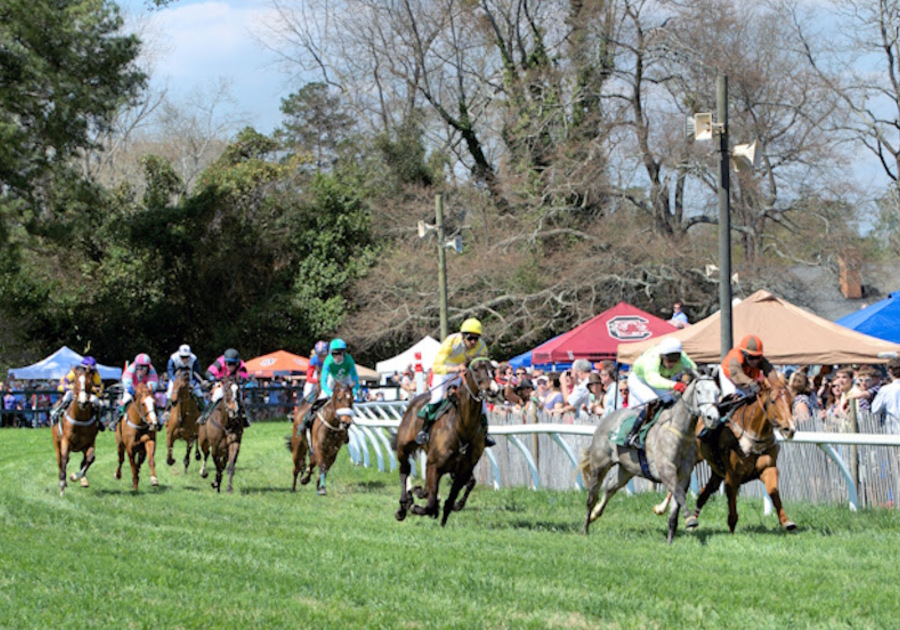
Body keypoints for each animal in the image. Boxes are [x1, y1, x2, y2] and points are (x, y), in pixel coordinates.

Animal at [52, 370, 101, 498]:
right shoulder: (65, 441)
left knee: (85, 460)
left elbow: (90, 459)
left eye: (90, 383)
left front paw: (75, 477)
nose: (83, 402)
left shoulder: (90, 442)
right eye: (76, 382)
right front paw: (62, 485)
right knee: (60, 460)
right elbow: (64, 459)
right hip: (56, 442)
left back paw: (83, 480)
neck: (80, 418)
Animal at [394, 360, 500, 528]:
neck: (462, 429)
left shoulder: (463, 471)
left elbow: (449, 500)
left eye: (493, 370)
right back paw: (403, 505)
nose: (493, 390)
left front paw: (443, 519)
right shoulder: (435, 466)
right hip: (403, 448)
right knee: (404, 471)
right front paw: (415, 506)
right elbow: (430, 505)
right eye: (476, 369)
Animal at [580, 378, 720, 544]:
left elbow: (675, 506)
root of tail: (606, 417)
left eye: (718, 392)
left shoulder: (684, 474)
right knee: (592, 497)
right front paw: (690, 519)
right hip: (599, 465)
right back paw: (585, 527)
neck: (679, 431)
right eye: (699, 391)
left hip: (626, 470)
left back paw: (595, 514)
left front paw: (670, 540)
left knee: (610, 488)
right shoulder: (666, 470)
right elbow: (679, 494)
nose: (713, 418)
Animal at [652, 372, 800, 536]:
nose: (789, 429)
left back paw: (692, 520)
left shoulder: (768, 468)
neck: (751, 435)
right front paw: (732, 527)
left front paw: (787, 521)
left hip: (716, 472)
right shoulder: (732, 475)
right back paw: (661, 508)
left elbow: (773, 491)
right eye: (773, 401)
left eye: (792, 401)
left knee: (704, 494)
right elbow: (731, 499)